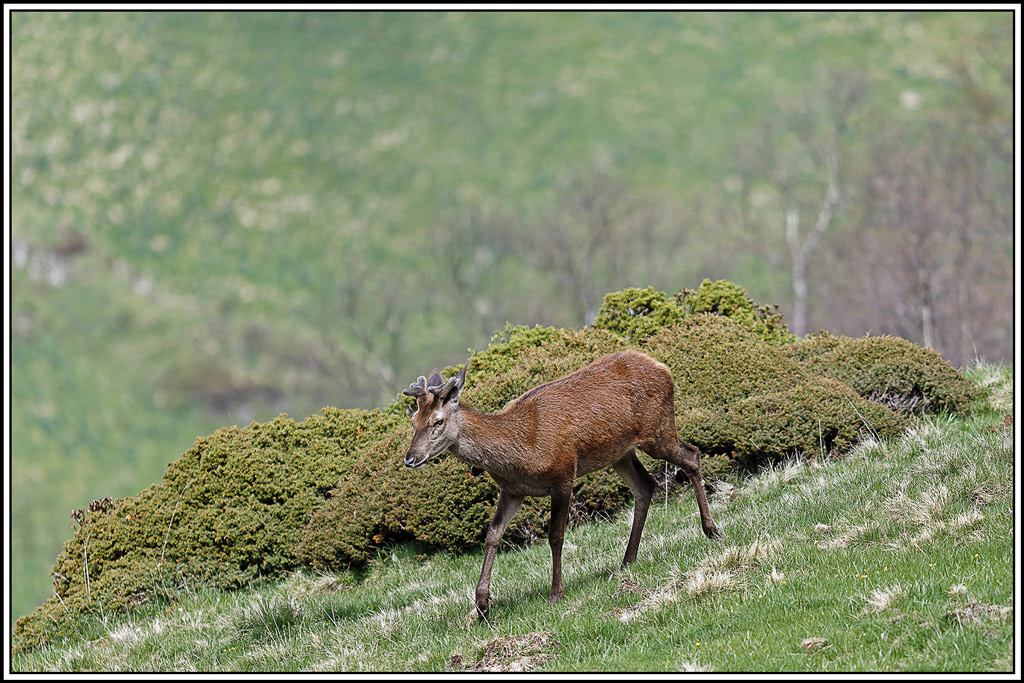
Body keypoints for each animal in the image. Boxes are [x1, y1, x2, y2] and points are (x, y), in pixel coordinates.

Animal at [401, 349, 721, 620]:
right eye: (414, 420)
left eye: (438, 421)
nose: (410, 458)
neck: (521, 453)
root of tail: (662, 366)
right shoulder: (512, 491)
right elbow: (492, 534)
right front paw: (481, 606)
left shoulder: (562, 474)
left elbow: (555, 535)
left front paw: (556, 593)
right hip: (619, 452)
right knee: (645, 486)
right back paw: (627, 560)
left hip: (658, 429)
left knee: (692, 456)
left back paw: (711, 530)